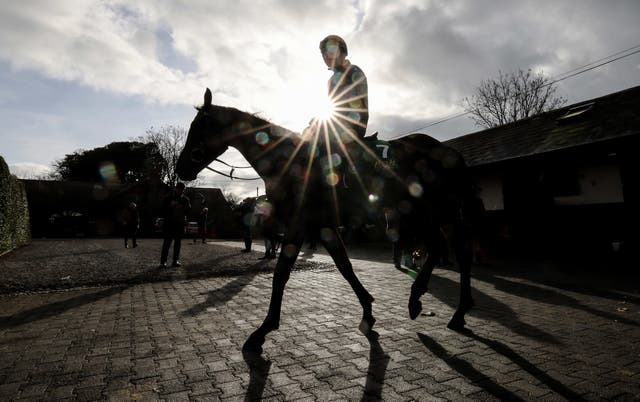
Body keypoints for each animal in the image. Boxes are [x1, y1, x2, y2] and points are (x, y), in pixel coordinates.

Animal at [175, 88, 476, 352]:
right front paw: (368, 312)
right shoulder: (325, 228)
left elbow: (281, 274)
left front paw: (262, 331)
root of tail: (447, 153)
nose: (181, 168)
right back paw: (458, 312)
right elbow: (345, 268)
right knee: (458, 253)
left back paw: (418, 299)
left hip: (425, 214)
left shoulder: (298, 227)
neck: (290, 159)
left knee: (439, 248)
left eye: (199, 126)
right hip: (439, 215)